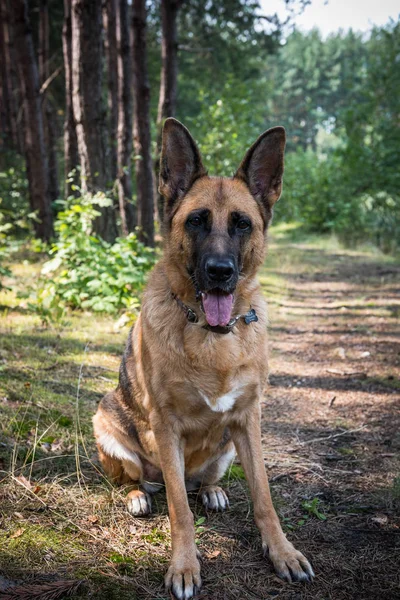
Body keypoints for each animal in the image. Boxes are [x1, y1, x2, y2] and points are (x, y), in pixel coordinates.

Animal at [92, 119, 314, 596]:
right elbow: (180, 509)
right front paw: (184, 566)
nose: (219, 272)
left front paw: (282, 553)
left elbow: (264, 497)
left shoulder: (249, 420)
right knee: (138, 480)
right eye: (196, 221)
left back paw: (210, 490)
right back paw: (138, 495)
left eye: (242, 224)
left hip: (228, 447)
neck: (214, 337)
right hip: (106, 422)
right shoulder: (166, 425)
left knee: (201, 483)